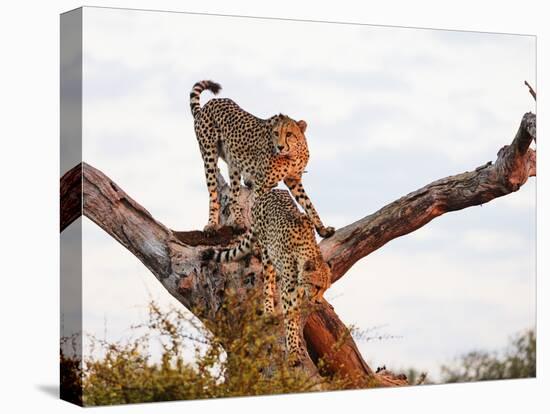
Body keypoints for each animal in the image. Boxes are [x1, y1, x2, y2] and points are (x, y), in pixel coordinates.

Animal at [190, 79, 336, 238]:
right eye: (276, 133)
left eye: (289, 134)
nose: (280, 147)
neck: (292, 155)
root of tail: (210, 103)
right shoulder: (261, 185)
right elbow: (258, 211)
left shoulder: (293, 180)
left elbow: (308, 204)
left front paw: (322, 229)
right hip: (209, 157)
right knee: (213, 194)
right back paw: (211, 224)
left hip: (233, 163)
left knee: (234, 196)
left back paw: (239, 222)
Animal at [203, 188, 332, 366]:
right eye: (317, 286)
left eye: (325, 289)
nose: (318, 301)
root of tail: (272, 190)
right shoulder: (288, 291)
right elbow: (290, 320)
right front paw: (293, 351)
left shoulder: (298, 291)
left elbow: (296, 317)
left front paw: (297, 345)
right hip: (266, 253)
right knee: (267, 282)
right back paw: (269, 309)